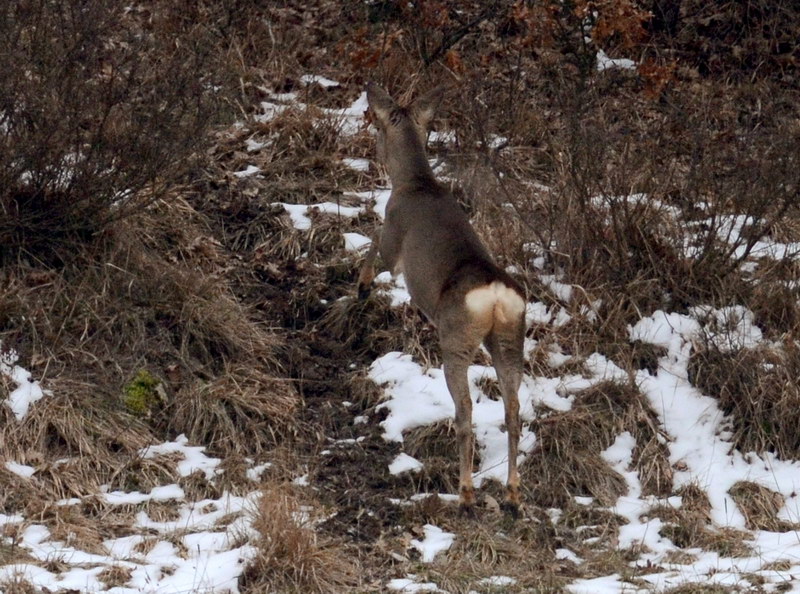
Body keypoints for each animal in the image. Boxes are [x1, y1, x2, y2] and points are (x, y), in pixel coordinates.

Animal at [360, 82, 528, 512]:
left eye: (378, 127)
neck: (415, 183)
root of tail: (495, 295)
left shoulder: (394, 243)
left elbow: (372, 244)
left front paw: (362, 286)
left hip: (456, 337)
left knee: (465, 409)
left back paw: (466, 492)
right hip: (510, 338)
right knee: (514, 409)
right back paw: (512, 493)